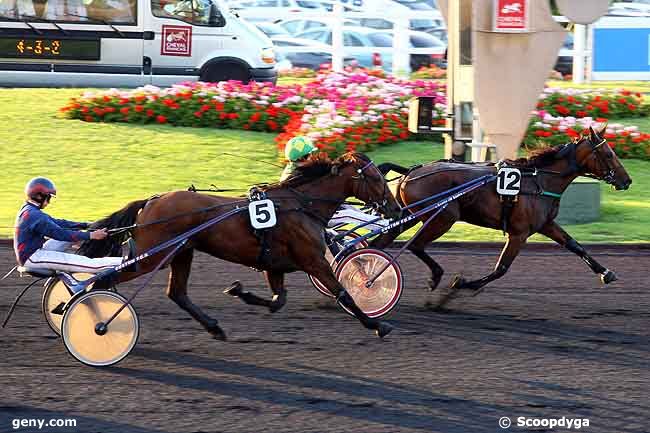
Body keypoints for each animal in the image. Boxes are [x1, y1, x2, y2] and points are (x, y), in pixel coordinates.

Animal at [79, 154, 400, 340]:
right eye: (375, 177)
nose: (395, 209)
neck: (301, 205)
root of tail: (151, 201)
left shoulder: (275, 264)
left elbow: (278, 300)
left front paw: (238, 291)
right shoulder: (314, 261)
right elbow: (343, 292)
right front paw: (377, 325)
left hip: (182, 252)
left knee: (177, 293)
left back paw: (214, 327)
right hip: (151, 256)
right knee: (105, 280)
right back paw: (96, 319)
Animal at [372, 125, 632, 296]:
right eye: (608, 154)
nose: (627, 180)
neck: (539, 180)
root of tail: (411, 172)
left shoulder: (546, 224)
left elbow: (575, 245)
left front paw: (605, 272)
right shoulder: (519, 233)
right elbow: (501, 268)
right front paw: (463, 283)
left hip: (408, 215)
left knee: (382, 242)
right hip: (443, 217)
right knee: (416, 245)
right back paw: (434, 276)